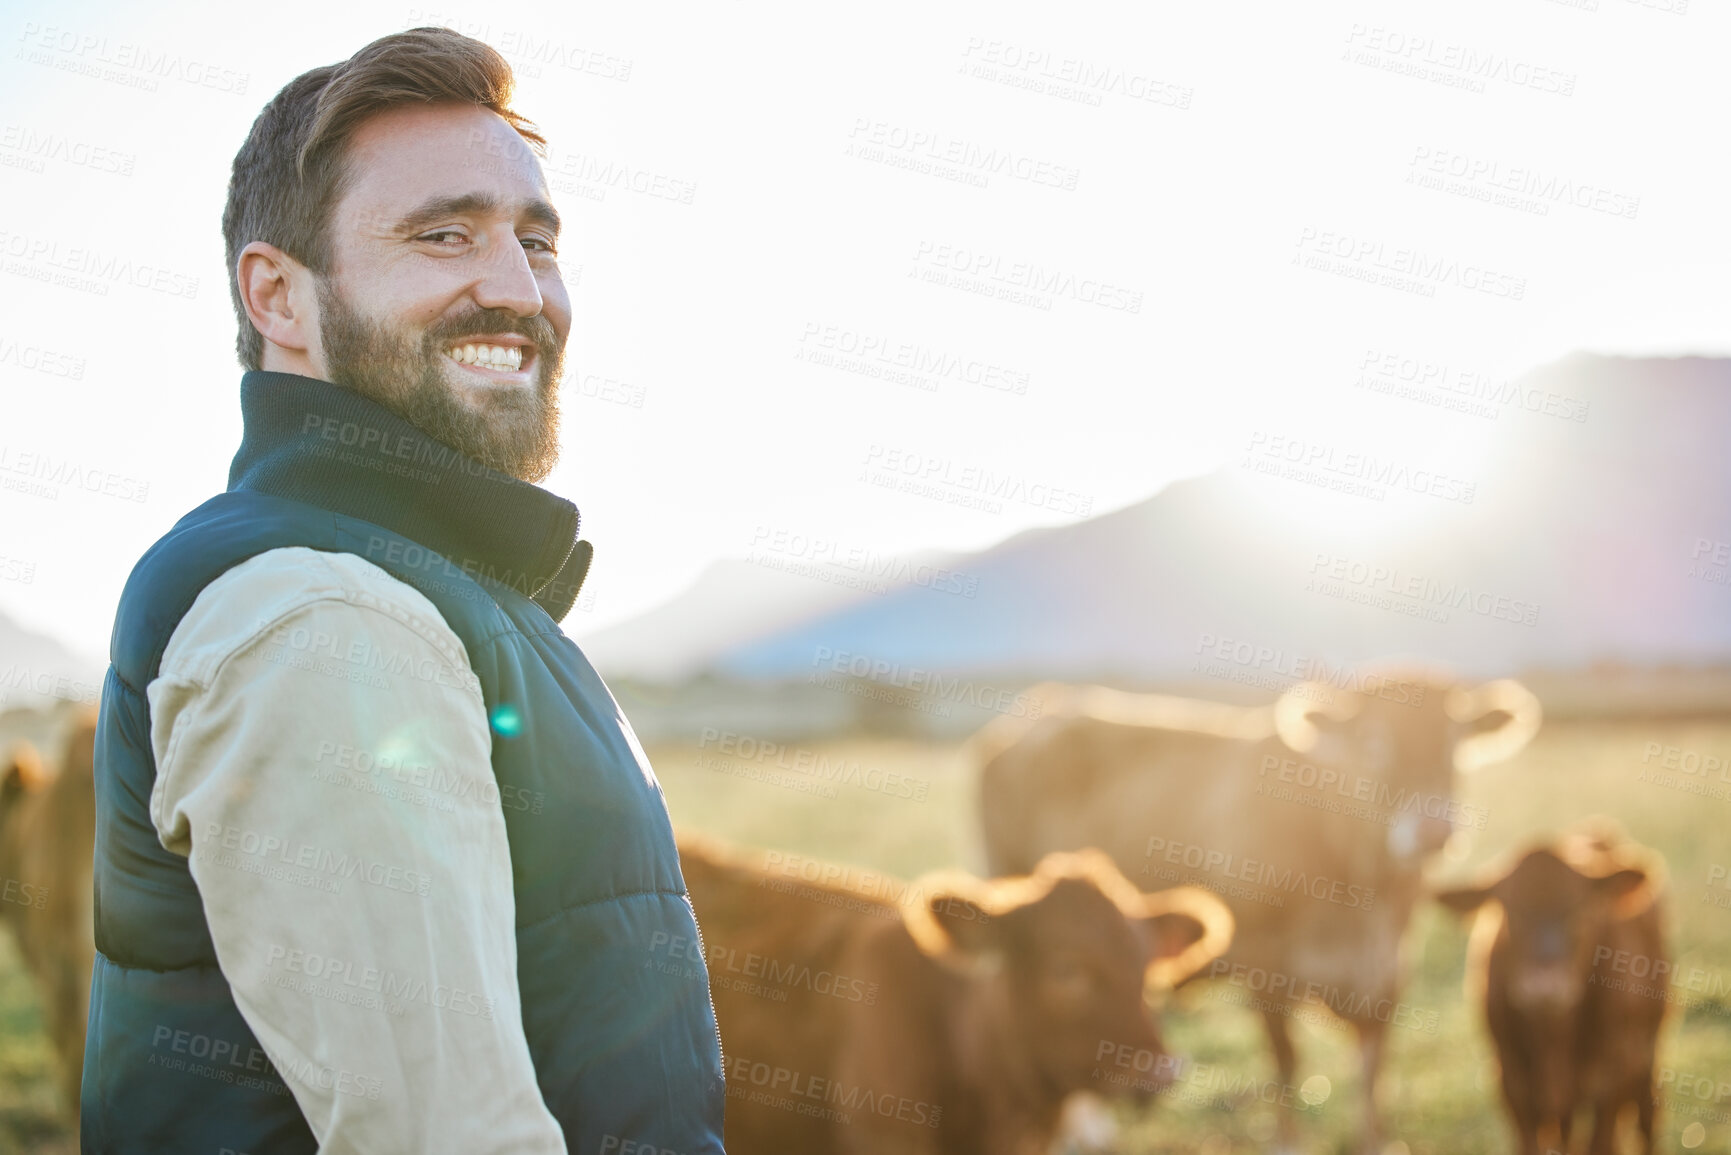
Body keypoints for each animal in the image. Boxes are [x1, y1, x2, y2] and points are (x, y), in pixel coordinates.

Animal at [976, 671, 1544, 1155]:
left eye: (1454, 742)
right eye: (1374, 743)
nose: (1432, 830)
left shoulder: (1387, 971)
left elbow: (1371, 1072)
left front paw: (1373, 1141)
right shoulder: (1265, 964)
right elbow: (1286, 1059)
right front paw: (1287, 1141)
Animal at [1426, 820, 1668, 1155]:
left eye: (1579, 909)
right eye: (1510, 909)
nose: (1545, 985)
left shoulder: (1612, 1075)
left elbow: (1601, 1141)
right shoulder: (1512, 1079)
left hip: (1649, 1048)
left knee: (1647, 1112)